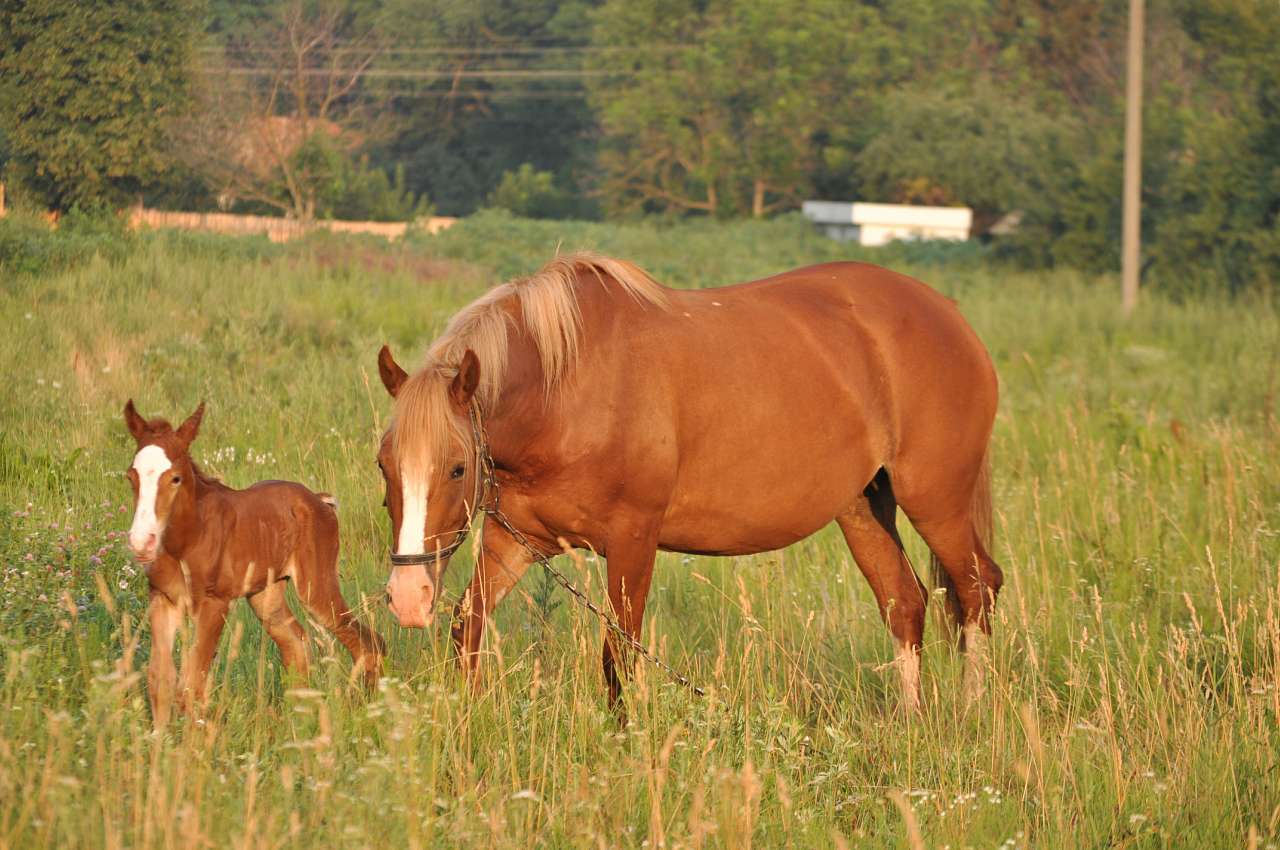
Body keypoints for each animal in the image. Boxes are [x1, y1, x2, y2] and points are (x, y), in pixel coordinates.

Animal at [124, 401, 384, 727]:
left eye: (175, 478)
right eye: (131, 477)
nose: (141, 541)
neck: (186, 538)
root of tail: (320, 501)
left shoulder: (214, 602)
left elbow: (192, 684)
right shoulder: (162, 598)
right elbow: (160, 681)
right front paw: (159, 740)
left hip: (315, 586)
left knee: (367, 640)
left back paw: (368, 706)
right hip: (266, 595)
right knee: (297, 644)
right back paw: (297, 721)